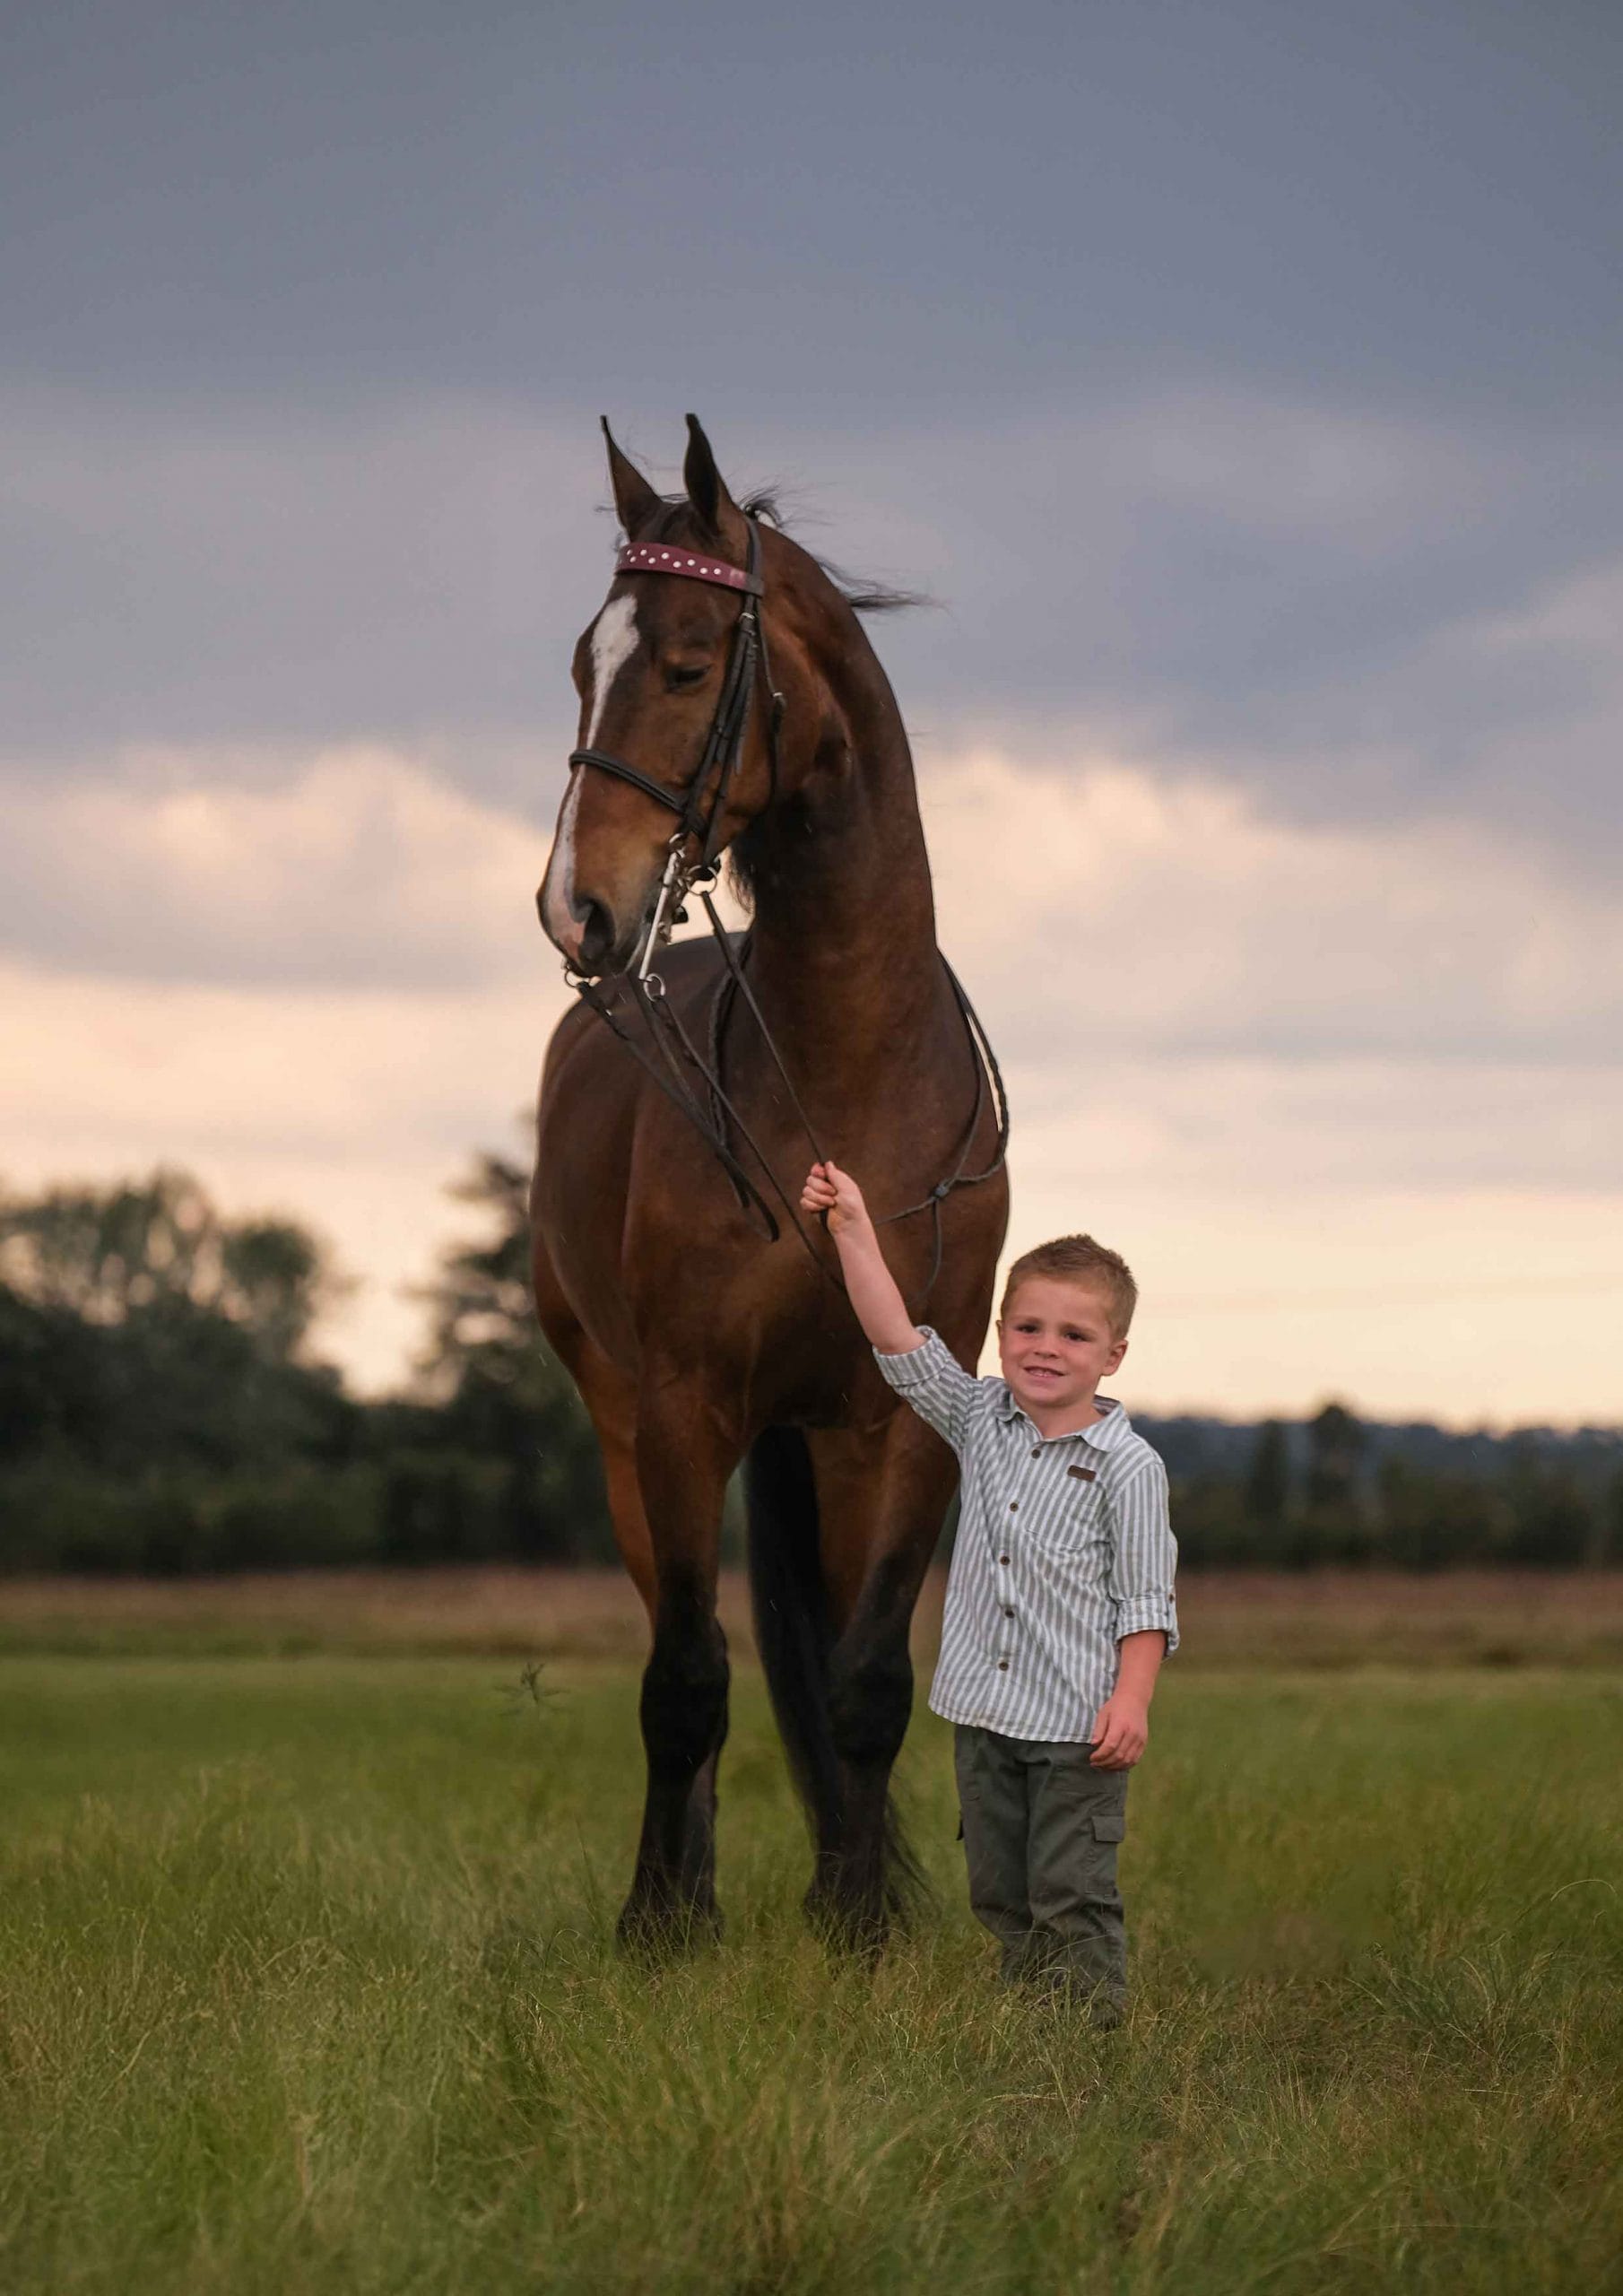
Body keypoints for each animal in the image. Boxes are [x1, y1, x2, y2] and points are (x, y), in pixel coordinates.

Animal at [531, 415, 1009, 1949]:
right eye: (583, 665)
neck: (842, 1078)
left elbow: (861, 1684)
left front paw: (857, 1927)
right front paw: (659, 1926)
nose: (576, 908)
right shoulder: (684, 1413)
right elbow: (686, 1681)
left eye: (688, 664)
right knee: (680, 1652)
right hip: (623, 1431)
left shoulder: (899, 1427)